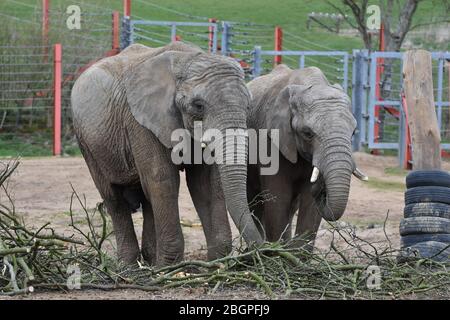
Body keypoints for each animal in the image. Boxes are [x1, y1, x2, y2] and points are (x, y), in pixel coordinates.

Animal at [70, 42, 264, 268]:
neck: (186, 58)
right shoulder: (140, 123)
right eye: (198, 105)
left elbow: (204, 185)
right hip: (87, 142)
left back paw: (150, 262)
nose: (259, 252)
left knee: (146, 198)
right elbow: (163, 180)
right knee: (114, 197)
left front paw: (216, 264)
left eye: (248, 106)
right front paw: (169, 268)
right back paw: (130, 268)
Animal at [248, 63, 368, 248]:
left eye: (354, 132)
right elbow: (278, 198)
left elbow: (309, 206)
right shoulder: (269, 137)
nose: (320, 188)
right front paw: (276, 254)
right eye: (307, 133)